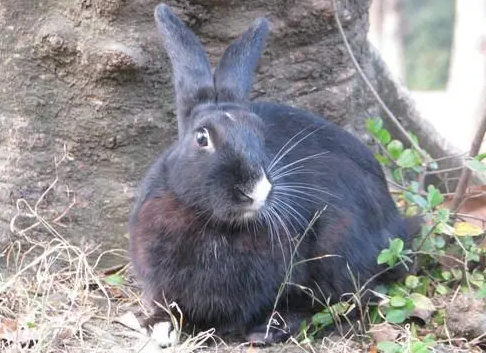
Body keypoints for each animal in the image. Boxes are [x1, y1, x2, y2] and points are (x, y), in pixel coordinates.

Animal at [129, 2, 422, 344]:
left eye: (259, 133)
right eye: (202, 137)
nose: (255, 190)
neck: (211, 222)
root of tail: (398, 226)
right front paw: (156, 324)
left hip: (340, 246)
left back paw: (270, 330)